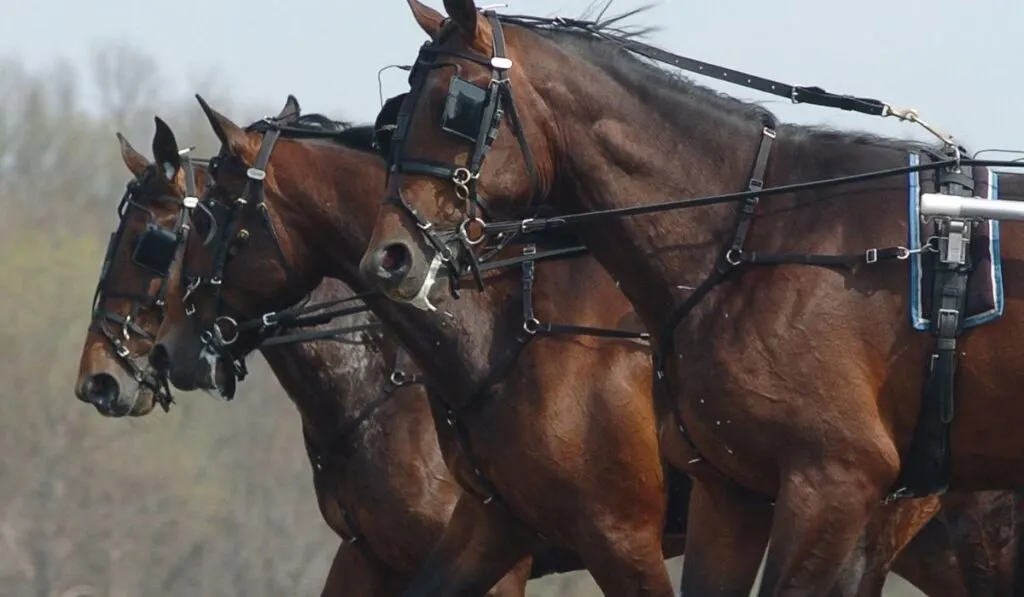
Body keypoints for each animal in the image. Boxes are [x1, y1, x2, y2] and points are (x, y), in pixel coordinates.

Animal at [357, 1, 1024, 595]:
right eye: (397, 113)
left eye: (456, 104)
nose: (389, 257)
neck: (757, 233)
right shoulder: (728, 493)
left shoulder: (834, 482)